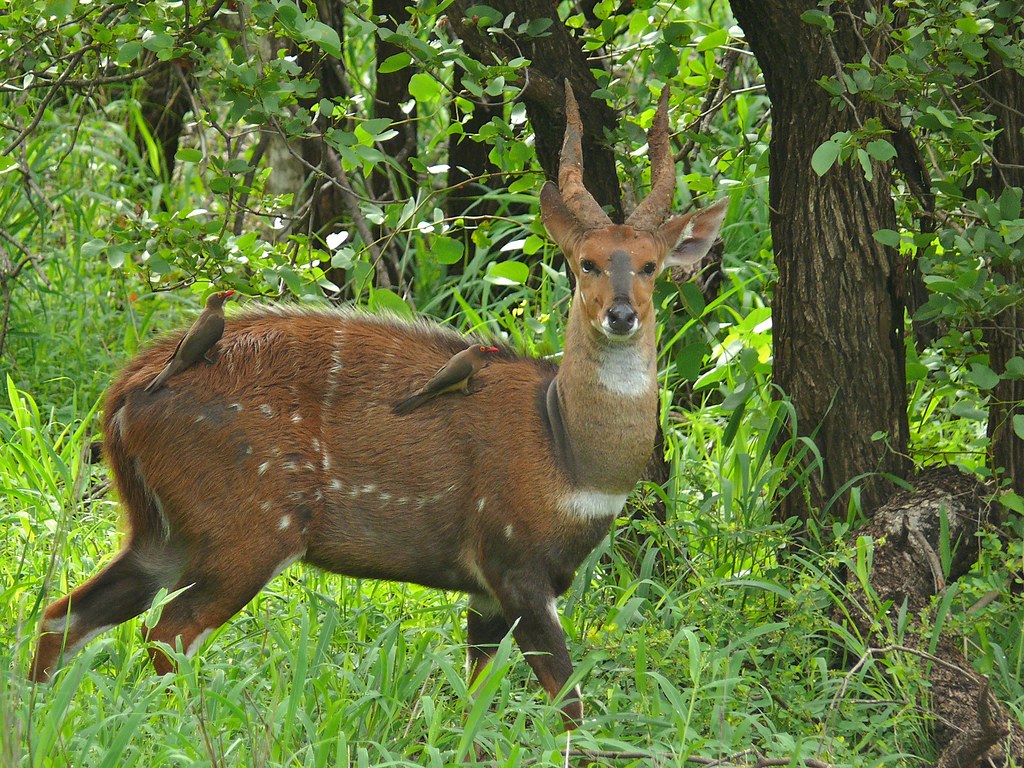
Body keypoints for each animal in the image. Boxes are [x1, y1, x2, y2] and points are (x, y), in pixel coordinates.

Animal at [32, 82, 729, 729]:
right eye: (586, 263)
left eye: (649, 265)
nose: (621, 315)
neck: (568, 453)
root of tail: (124, 393)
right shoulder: (515, 569)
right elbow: (569, 703)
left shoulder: (486, 596)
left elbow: (477, 701)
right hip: (248, 533)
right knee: (165, 632)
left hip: (160, 531)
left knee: (64, 613)